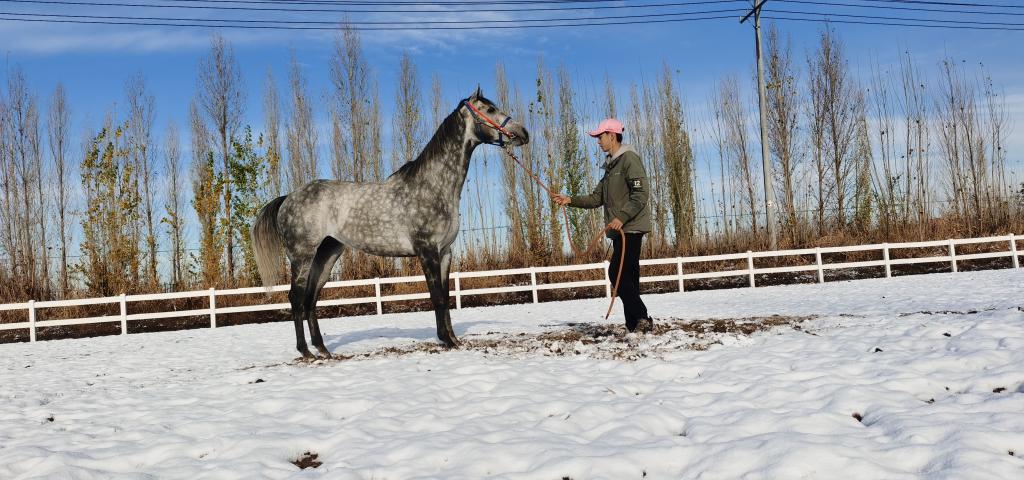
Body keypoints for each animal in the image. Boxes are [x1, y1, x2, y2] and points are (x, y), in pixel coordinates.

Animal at [251, 87, 530, 360]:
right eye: (490, 109)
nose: (523, 133)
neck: (433, 186)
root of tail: (288, 197)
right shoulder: (427, 251)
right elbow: (437, 298)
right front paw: (446, 341)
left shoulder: (445, 252)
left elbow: (447, 297)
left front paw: (453, 340)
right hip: (302, 257)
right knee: (296, 298)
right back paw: (306, 352)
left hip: (327, 255)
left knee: (311, 299)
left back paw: (323, 350)